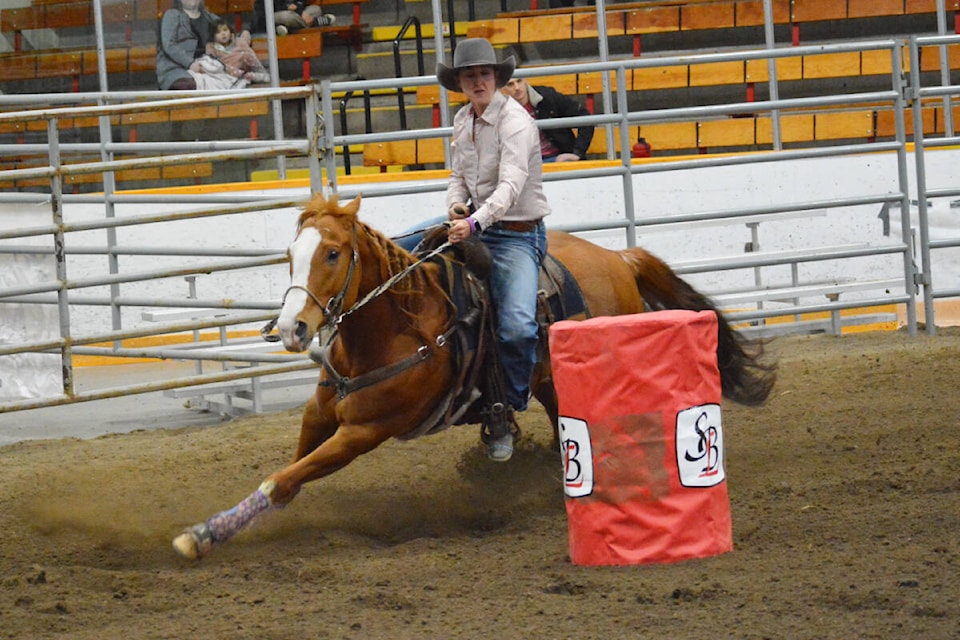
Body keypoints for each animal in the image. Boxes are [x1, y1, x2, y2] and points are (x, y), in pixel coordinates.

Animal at [171, 192, 772, 556]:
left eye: (335, 254)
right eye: (289, 254)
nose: (293, 329)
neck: (393, 328)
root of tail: (618, 260)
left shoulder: (364, 432)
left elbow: (282, 479)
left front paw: (198, 537)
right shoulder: (320, 414)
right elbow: (287, 477)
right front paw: (215, 529)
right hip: (551, 384)